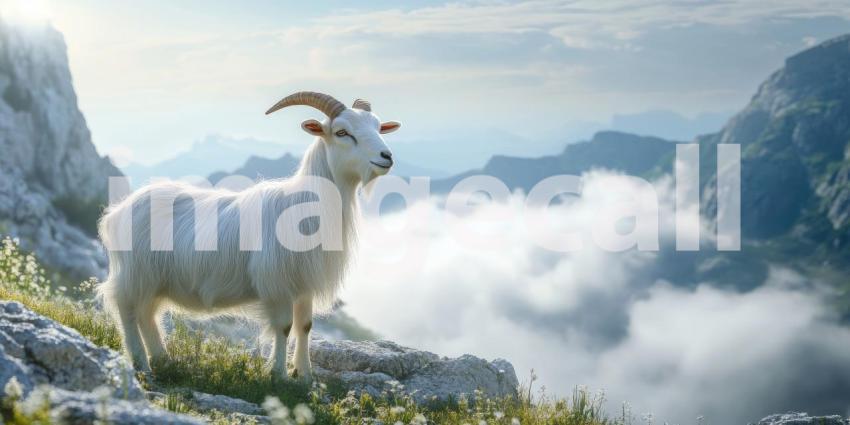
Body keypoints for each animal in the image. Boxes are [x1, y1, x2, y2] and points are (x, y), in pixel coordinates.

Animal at [98, 92, 401, 379]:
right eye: (341, 132)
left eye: (378, 127)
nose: (386, 157)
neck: (307, 202)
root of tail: (117, 212)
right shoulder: (277, 283)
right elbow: (284, 327)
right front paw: (278, 375)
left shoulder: (303, 283)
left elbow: (305, 326)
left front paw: (304, 376)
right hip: (136, 273)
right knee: (127, 310)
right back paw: (142, 364)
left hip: (155, 280)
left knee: (147, 315)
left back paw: (162, 359)